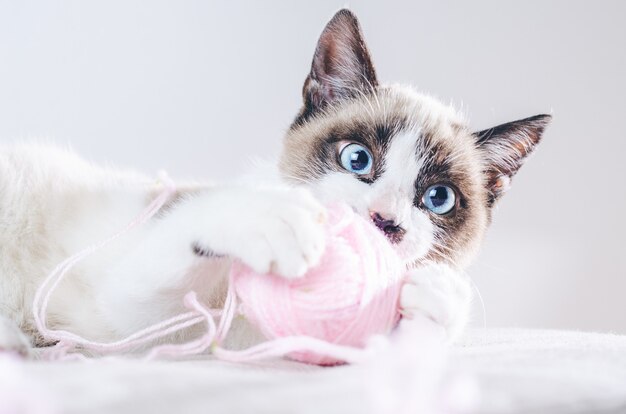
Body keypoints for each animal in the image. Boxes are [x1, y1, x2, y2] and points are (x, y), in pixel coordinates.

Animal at [0, 8, 544, 356]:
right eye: (357, 159)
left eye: (438, 198)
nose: (384, 222)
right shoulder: (122, 318)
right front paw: (272, 220)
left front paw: (438, 295)